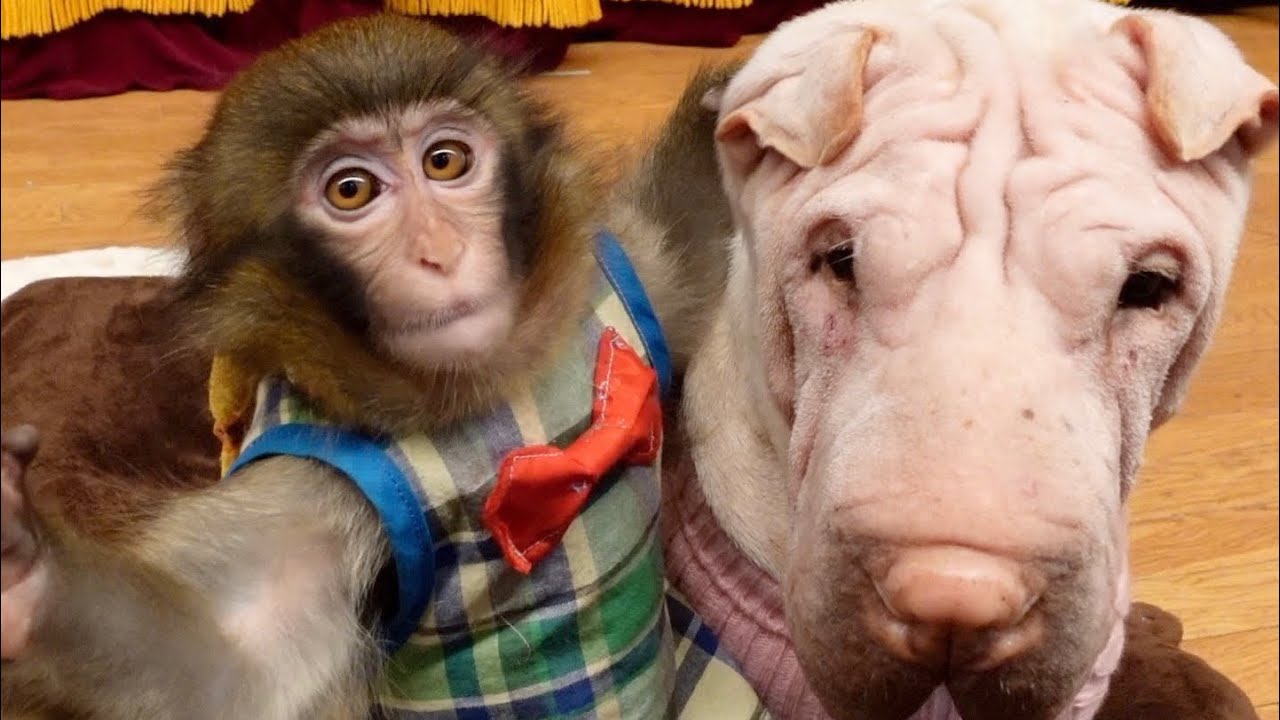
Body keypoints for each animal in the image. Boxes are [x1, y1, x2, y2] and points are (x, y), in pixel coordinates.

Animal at [0, 14, 740, 720]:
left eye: (445, 161)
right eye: (351, 191)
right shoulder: (319, 472)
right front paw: (23, 572)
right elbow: (234, 665)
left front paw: (729, 98)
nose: (440, 252)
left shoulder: (611, 279)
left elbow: (681, 254)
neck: (494, 390)